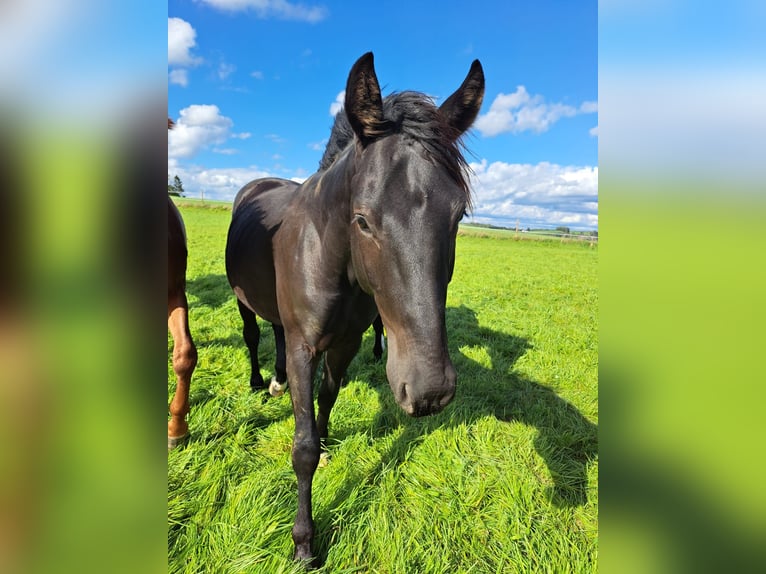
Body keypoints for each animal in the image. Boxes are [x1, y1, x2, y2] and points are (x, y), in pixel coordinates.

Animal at [225, 51, 484, 564]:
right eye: (362, 220)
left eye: (457, 215)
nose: (429, 392)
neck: (330, 259)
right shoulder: (306, 348)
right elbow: (302, 447)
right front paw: (304, 543)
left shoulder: (345, 343)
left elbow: (326, 400)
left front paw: (327, 438)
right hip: (244, 302)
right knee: (252, 334)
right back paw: (259, 382)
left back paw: (276, 381)